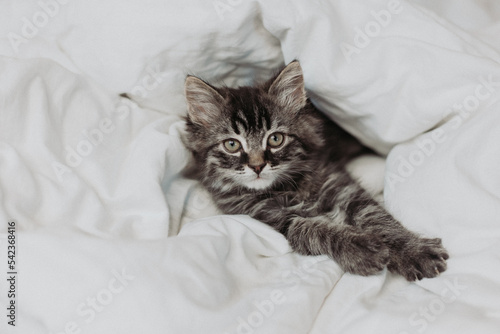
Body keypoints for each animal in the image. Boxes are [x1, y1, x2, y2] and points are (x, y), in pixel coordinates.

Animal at [184, 61, 450, 280]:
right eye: (232, 145)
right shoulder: (267, 218)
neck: (285, 187)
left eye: (276, 139)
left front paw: (413, 250)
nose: (257, 166)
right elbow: (313, 228)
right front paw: (360, 248)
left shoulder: (341, 185)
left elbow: (377, 217)